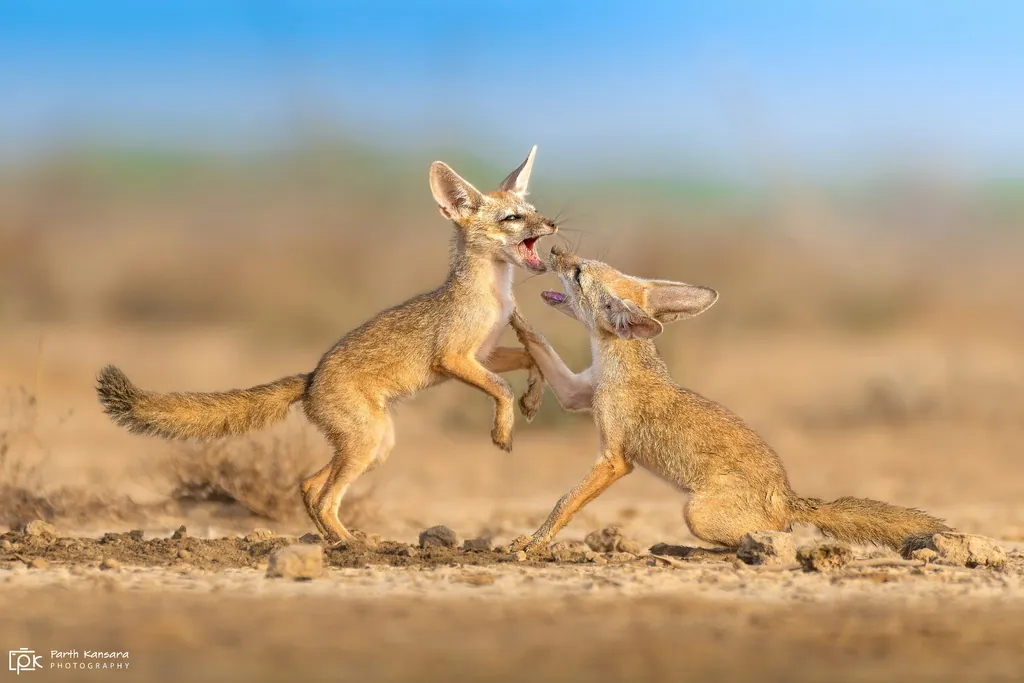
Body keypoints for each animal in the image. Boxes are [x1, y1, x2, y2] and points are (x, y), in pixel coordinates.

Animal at [96, 147, 558, 544]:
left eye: (534, 212)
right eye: (513, 218)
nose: (553, 224)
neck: (494, 295)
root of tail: (311, 378)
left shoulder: (486, 354)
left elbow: (531, 358)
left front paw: (533, 400)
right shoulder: (454, 358)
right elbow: (501, 387)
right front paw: (503, 430)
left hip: (375, 446)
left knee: (308, 485)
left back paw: (335, 538)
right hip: (367, 443)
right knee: (323, 497)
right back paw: (352, 545)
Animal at [506, 245, 951, 554]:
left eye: (578, 273)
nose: (555, 250)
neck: (619, 365)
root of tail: (790, 498)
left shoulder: (614, 460)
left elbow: (564, 502)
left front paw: (534, 543)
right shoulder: (575, 394)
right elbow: (539, 344)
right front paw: (510, 314)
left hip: (695, 513)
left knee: (764, 541)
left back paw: (686, 550)